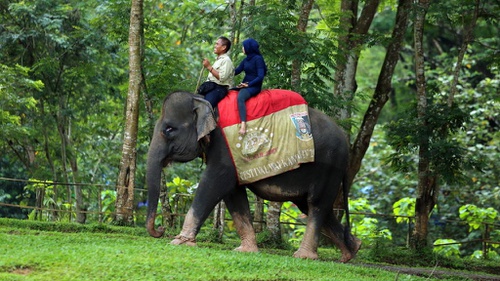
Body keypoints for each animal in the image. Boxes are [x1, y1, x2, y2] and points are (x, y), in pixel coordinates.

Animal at [146, 90, 362, 262]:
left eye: (169, 129)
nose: (161, 230)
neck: (205, 100)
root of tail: (346, 141)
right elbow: (234, 193)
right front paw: (245, 250)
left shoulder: (225, 151)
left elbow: (214, 184)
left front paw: (179, 242)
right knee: (313, 207)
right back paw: (351, 251)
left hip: (329, 166)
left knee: (316, 205)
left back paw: (304, 256)